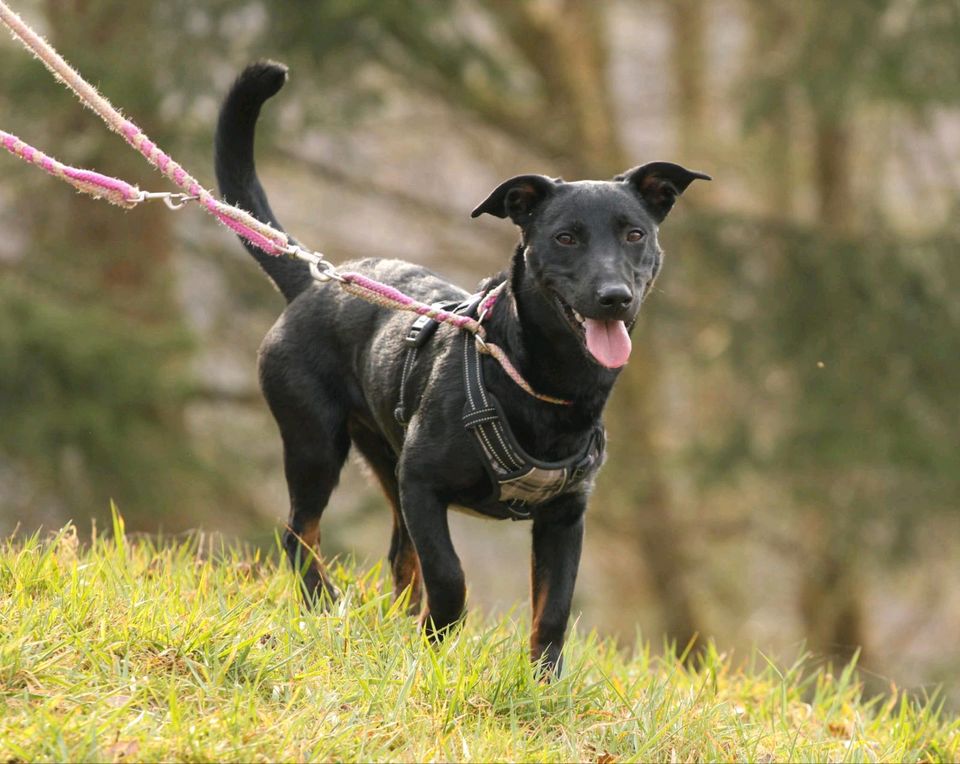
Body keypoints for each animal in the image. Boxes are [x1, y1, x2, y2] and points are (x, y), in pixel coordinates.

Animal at [218, 65, 708, 676]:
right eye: (565, 237)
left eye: (634, 234)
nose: (614, 297)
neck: (544, 386)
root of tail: (315, 281)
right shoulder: (423, 484)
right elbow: (449, 576)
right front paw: (435, 645)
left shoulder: (565, 515)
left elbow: (553, 608)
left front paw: (541, 684)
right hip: (315, 442)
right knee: (299, 533)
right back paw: (324, 606)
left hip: (384, 458)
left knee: (397, 554)